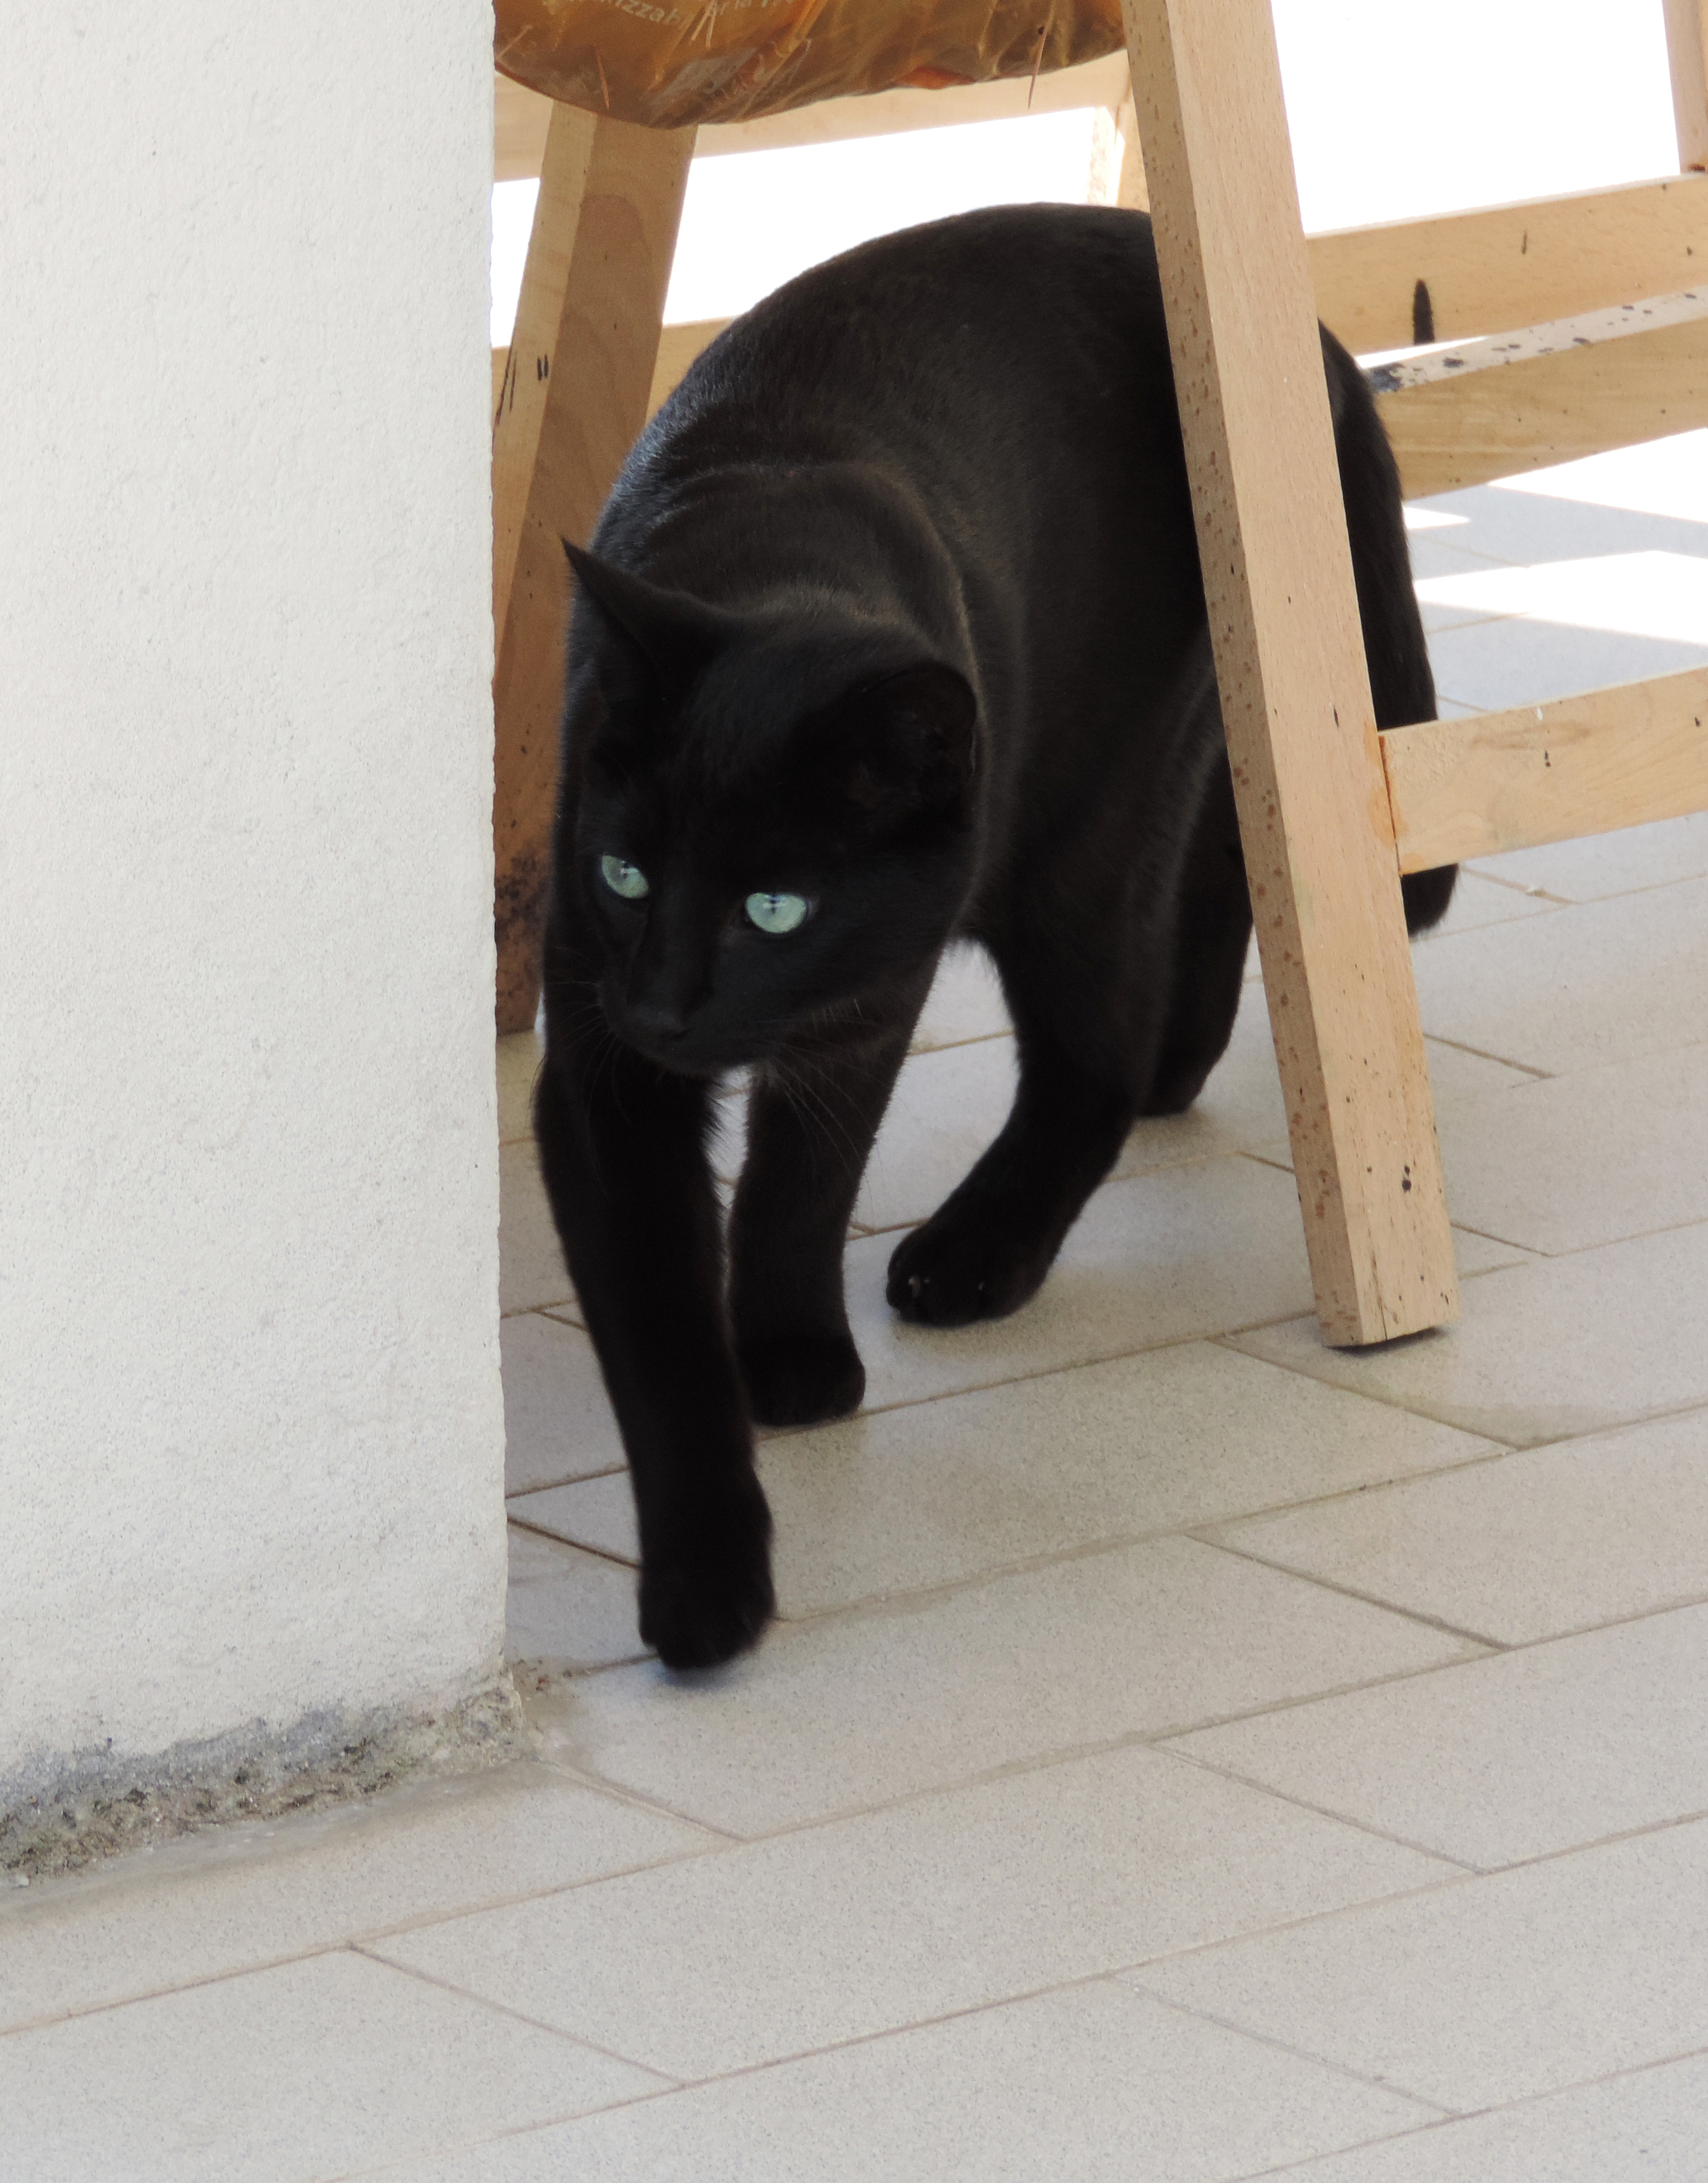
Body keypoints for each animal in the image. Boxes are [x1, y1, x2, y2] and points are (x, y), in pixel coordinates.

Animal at [532, 203, 1454, 1671]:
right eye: (624, 875)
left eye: (772, 908)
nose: (667, 1008)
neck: (771, 547)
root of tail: (1310, 340)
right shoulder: (598, 1067)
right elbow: (661, 1328)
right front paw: (705, 1579)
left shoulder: (866, 993)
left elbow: (804, 1181)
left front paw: (789, 1357)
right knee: (1209, 891)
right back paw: (1175, 1073)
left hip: (1087, 807)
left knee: (1098, 1053)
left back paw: (977, 1254)